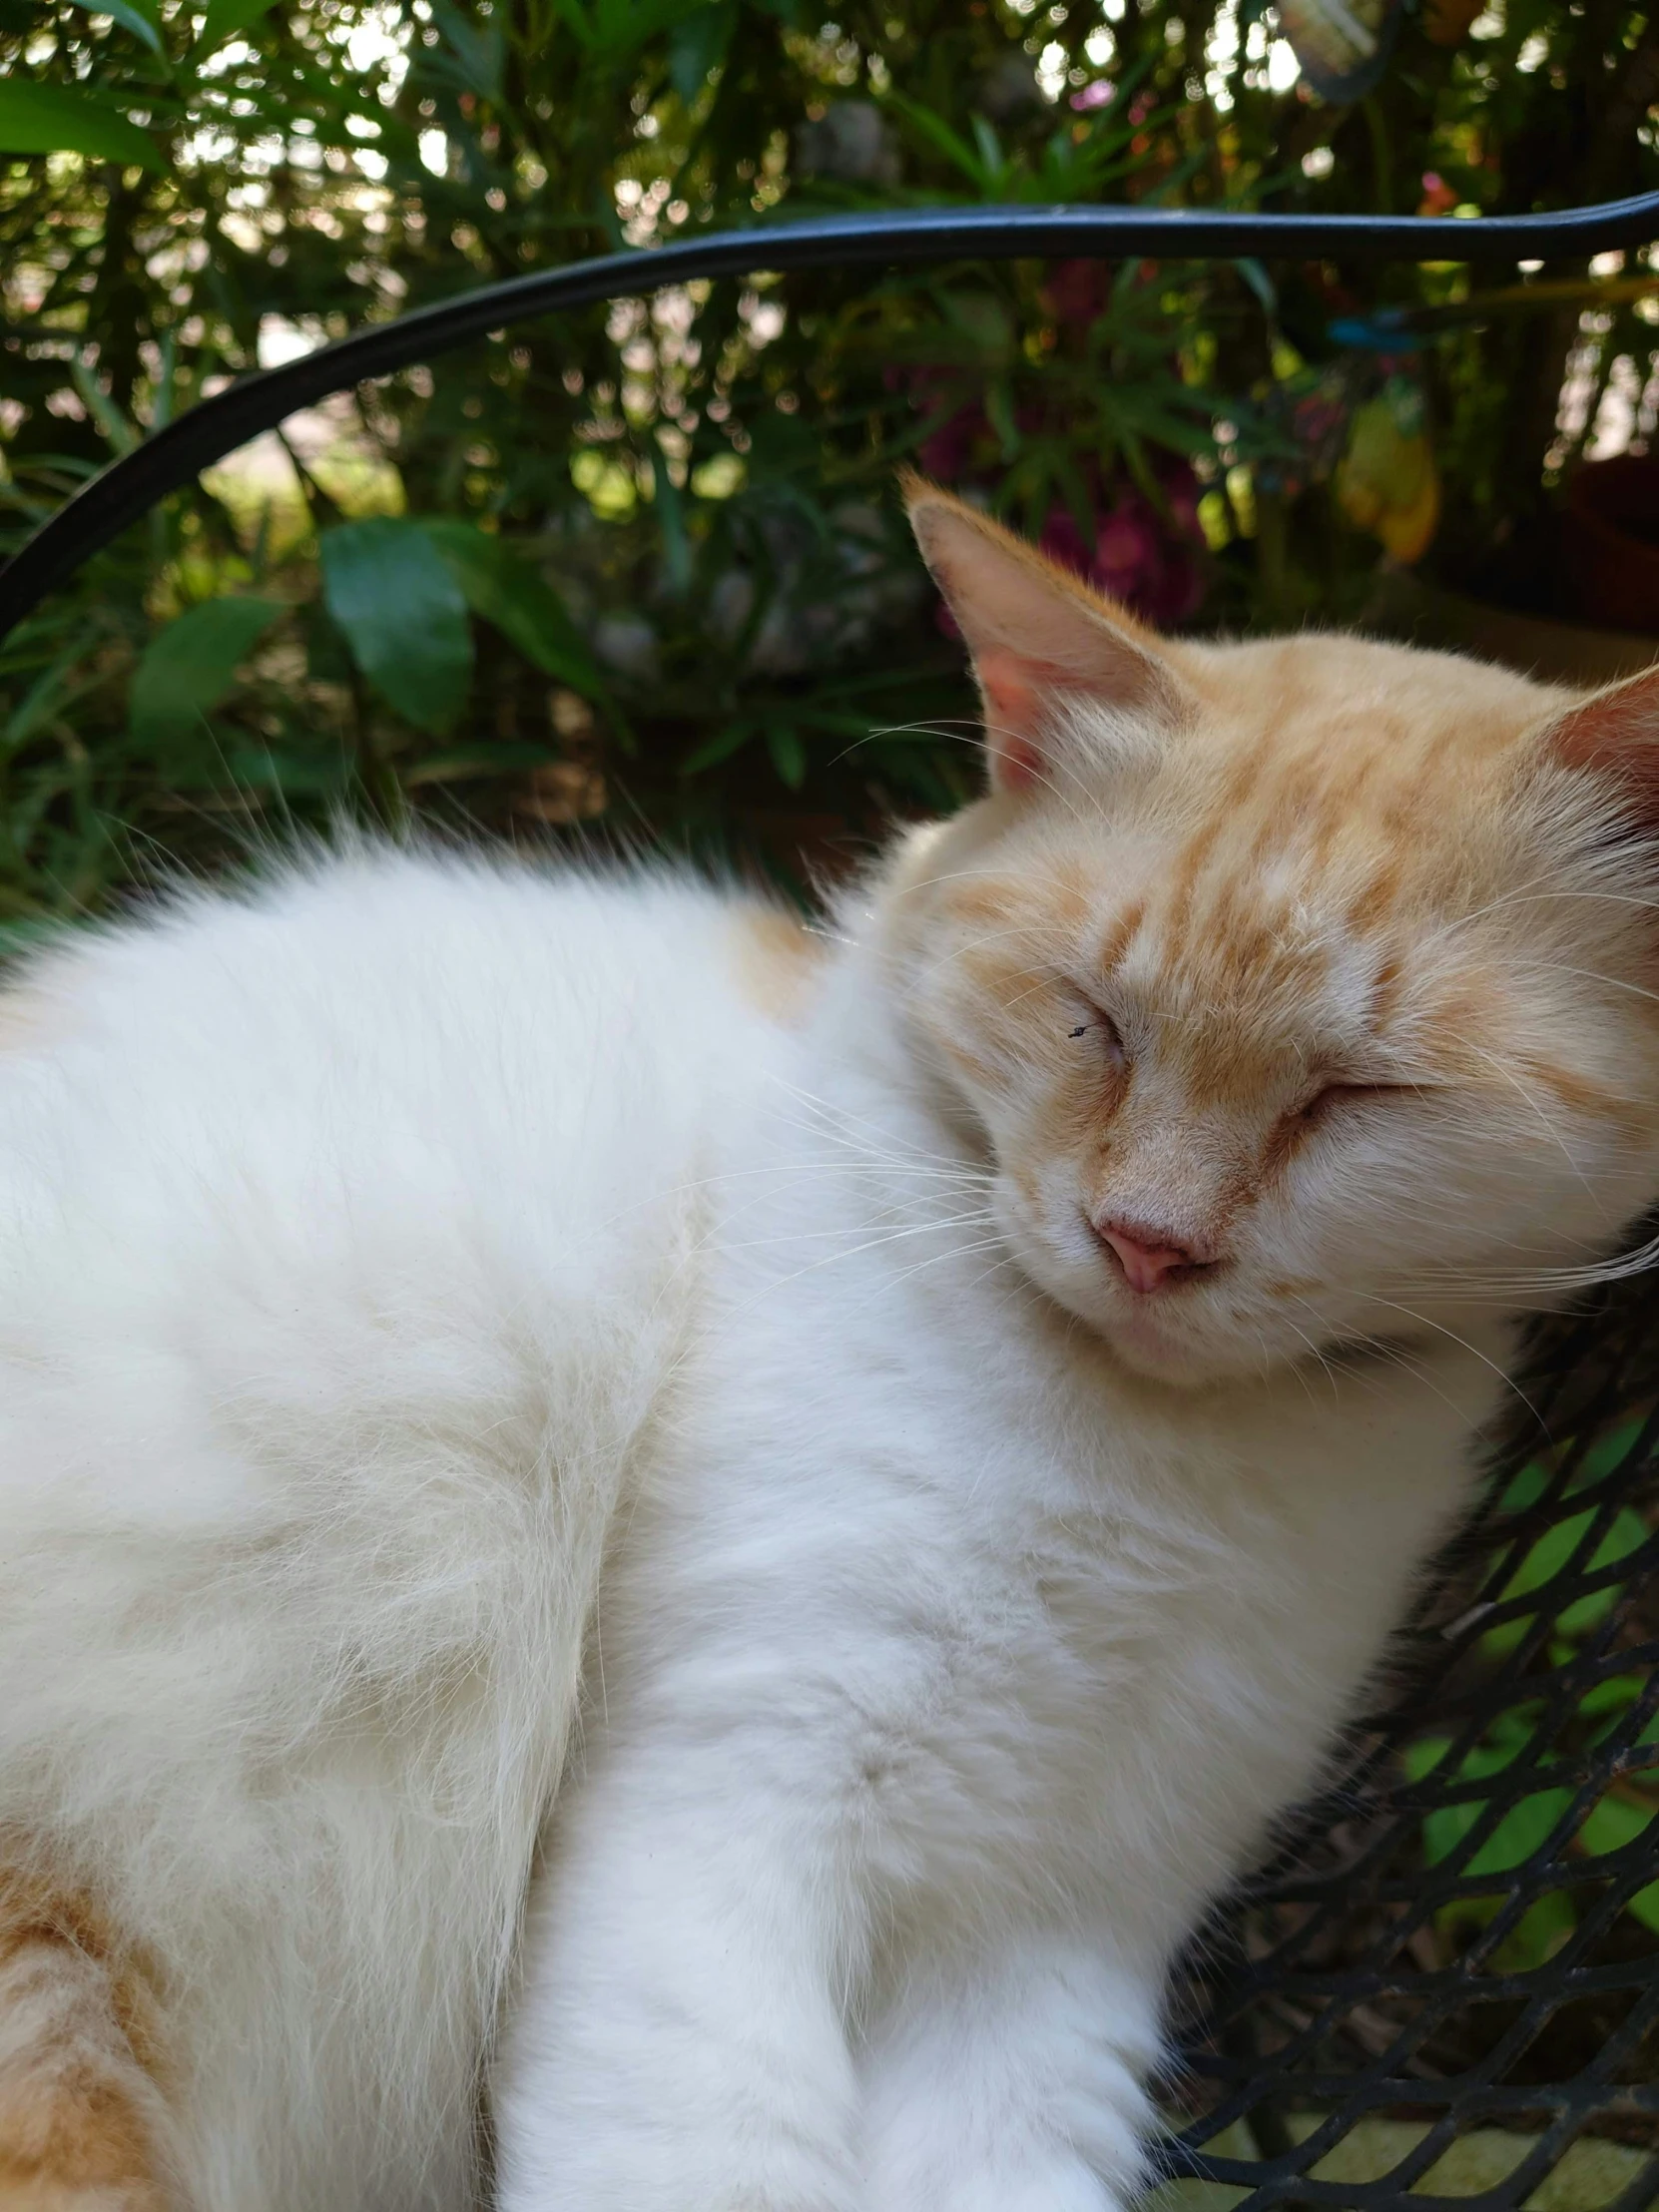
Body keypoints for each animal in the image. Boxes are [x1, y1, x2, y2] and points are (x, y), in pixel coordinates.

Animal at [0, 479, 1659, 2212]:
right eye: (1090, 1019)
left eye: (1360, 1095)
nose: (1144, 1243)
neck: (1151, 1465)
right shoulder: (720, 1808)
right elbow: (712, 2157)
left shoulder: (1053, 1943)